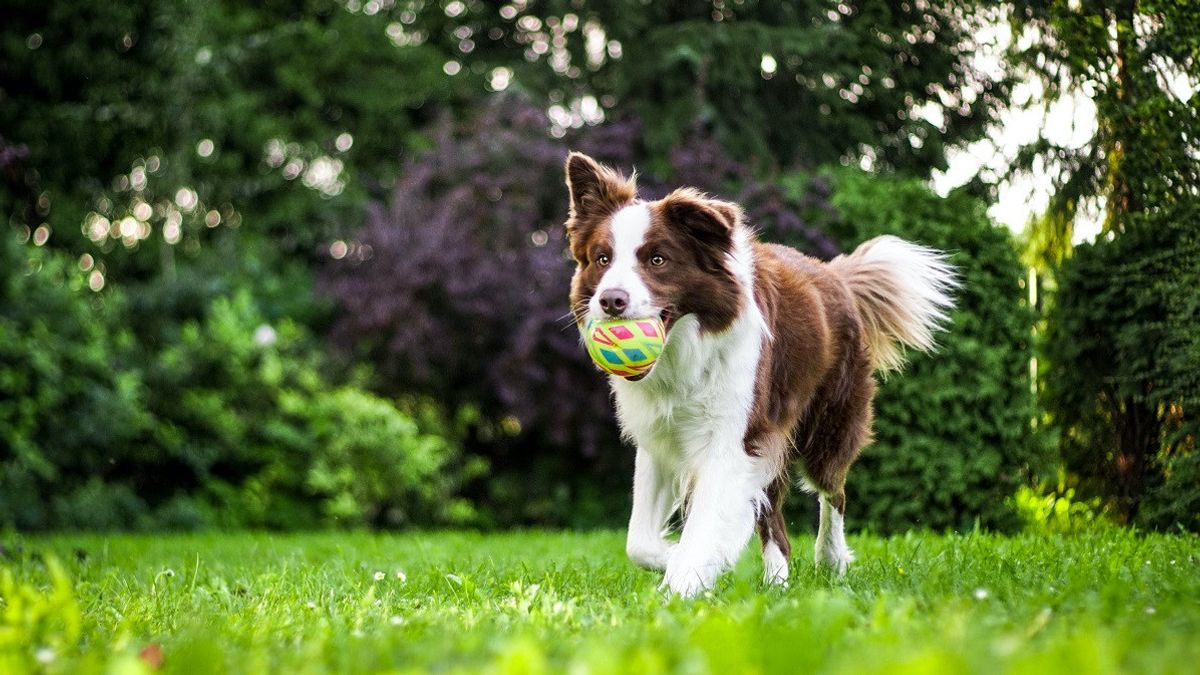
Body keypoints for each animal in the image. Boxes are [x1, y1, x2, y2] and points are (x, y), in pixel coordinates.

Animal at [561, 151, 955, 593]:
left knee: (832, 491)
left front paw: (683, 584)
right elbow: (638, 542)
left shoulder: (734, 437)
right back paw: (777, 583)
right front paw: (680, 561)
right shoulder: (661, 436)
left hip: (828, 422)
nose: (611, 301)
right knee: (774, 519)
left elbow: (705, 523)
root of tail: (835, 274)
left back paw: (831, 559)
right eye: (602, 259)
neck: (685, 352)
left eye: (658, 260)